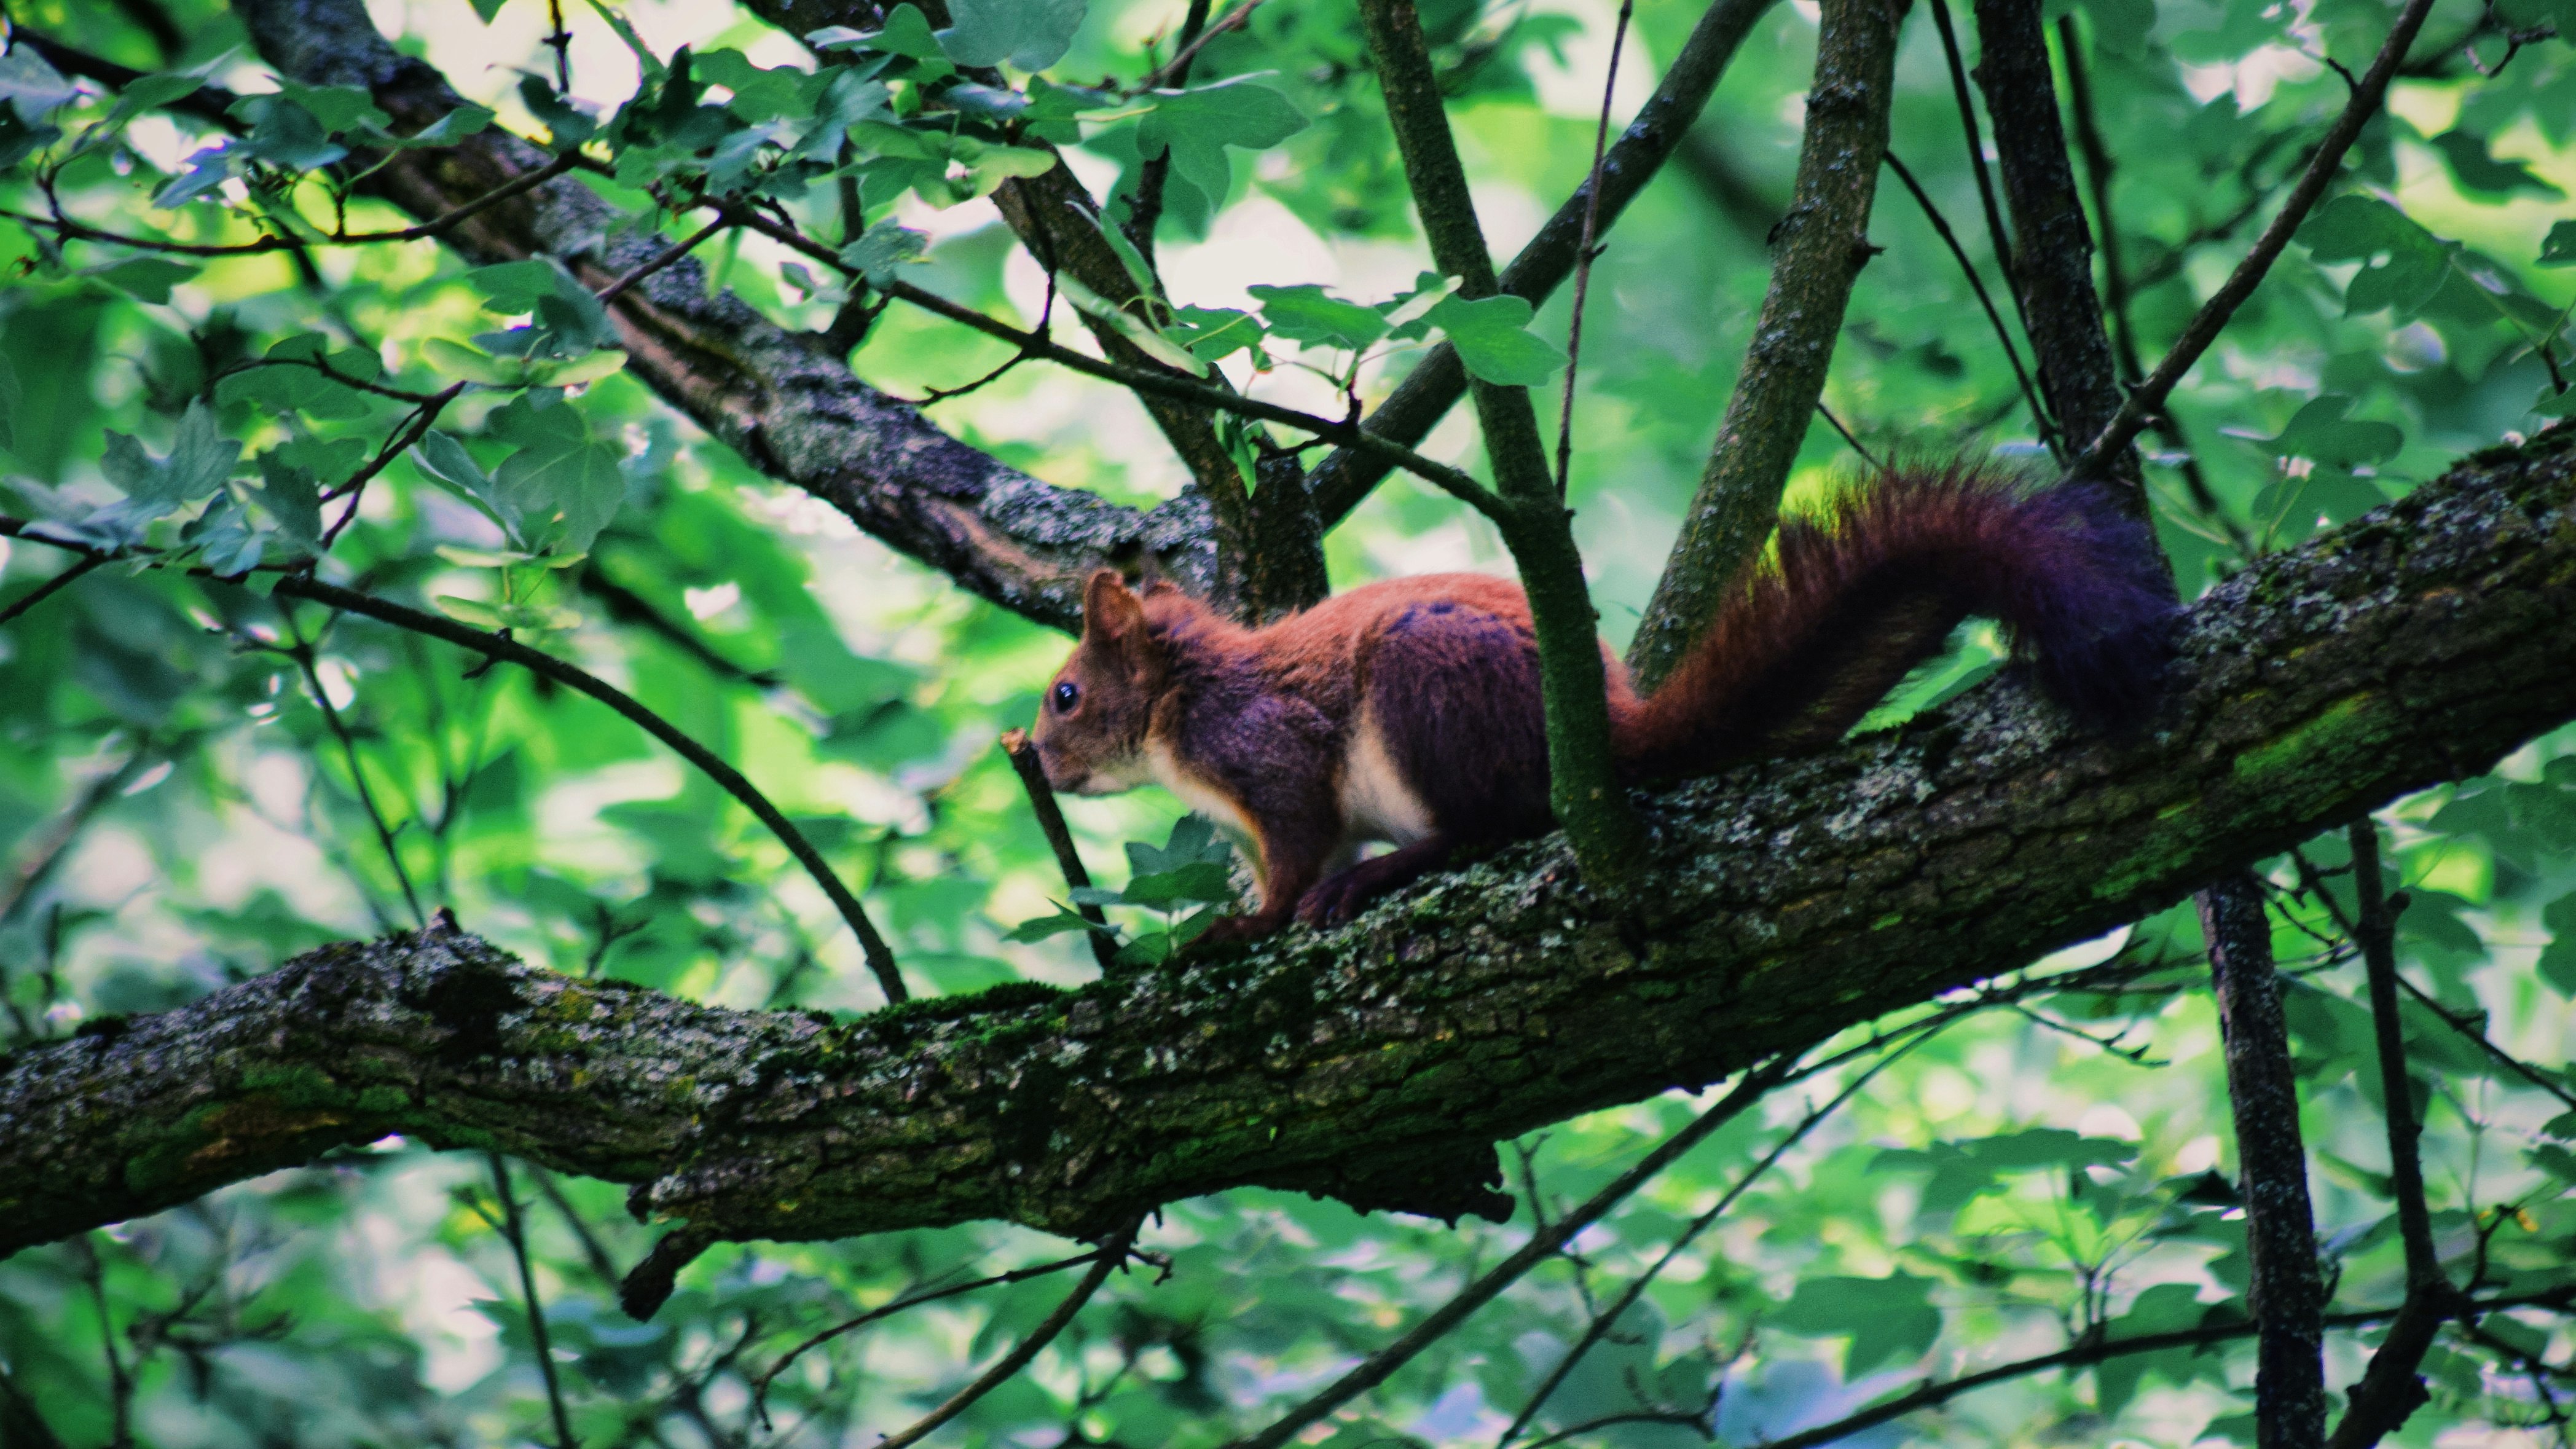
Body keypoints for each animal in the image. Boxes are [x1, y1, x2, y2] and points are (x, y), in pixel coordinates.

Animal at [1025, 456, 2174, 943]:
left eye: (1066, 693)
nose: (1038, 759)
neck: (1187, 697)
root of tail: (1609, 733)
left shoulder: (1273, 752)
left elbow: (1301, 848)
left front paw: (1247, 923)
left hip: (1429, 693)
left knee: (1495, 823)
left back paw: (1398, 868)